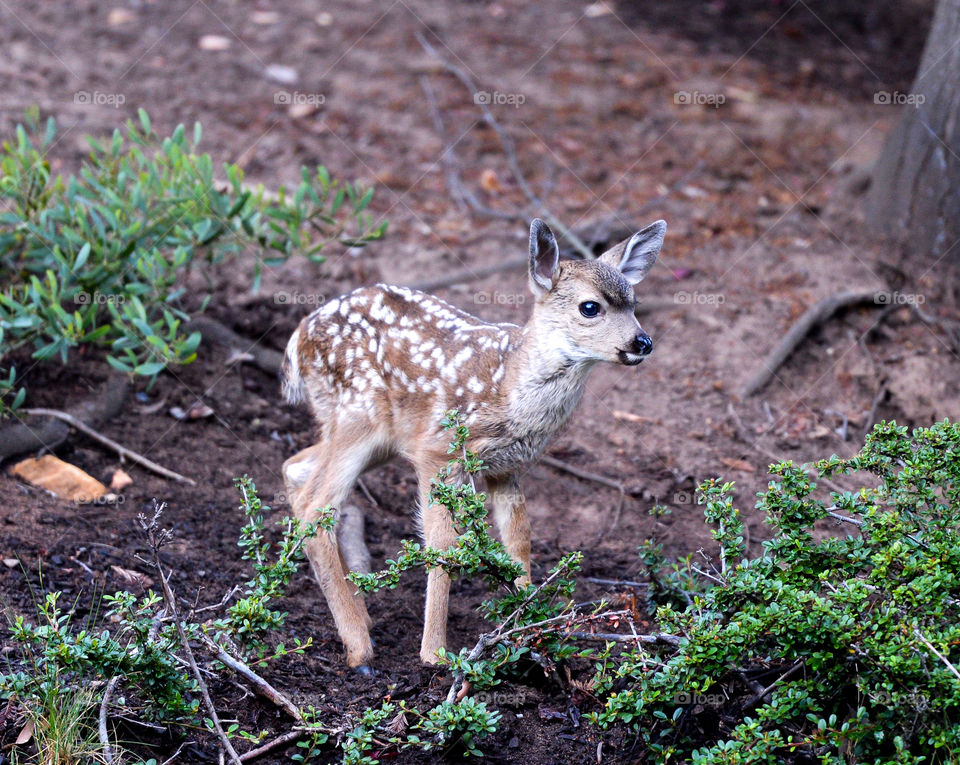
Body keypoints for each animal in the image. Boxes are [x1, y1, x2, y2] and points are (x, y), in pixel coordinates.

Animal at [280, 217, 666, 672]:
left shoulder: (507, 465)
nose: (643, 342)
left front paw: (528, 625)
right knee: (316, 506)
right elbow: (443, 544)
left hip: (368, 434)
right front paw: (435, 653)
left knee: (296, 469)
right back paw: (359, 647)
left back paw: (359, 615)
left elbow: (519, 536)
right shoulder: (438, 451)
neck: (510, 387)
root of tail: (298, 340)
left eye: (634, 302)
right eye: (590, 307)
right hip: (360, 415)